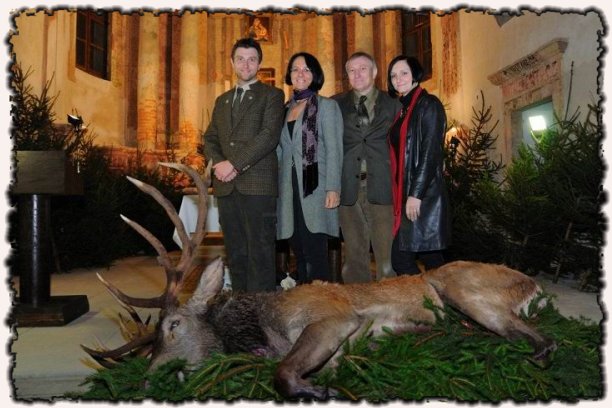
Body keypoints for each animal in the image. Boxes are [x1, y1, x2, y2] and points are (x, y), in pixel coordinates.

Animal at [83, 162, 557, 400]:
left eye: (173, 325)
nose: (147, 380)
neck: (262, 328)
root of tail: (534, 288)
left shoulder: (332, 317)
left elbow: (283, 373)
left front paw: (322, 388)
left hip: (464, 290)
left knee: (542, 340)